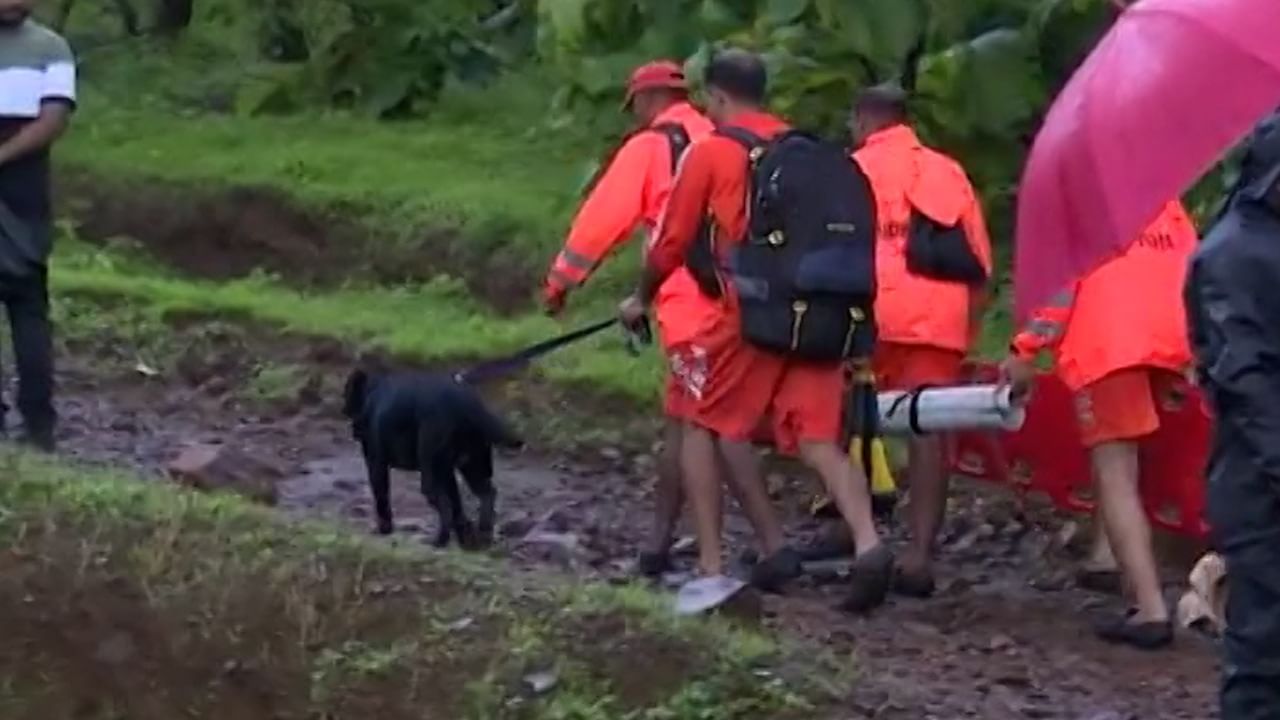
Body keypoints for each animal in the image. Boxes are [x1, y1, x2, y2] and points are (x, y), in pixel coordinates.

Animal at [343, 366, 522, 545]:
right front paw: (465, 533)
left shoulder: (376, 464)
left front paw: (384, 529)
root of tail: (466, 404)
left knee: (445, 504)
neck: (372, 393)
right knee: (486, 495)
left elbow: (382, 498)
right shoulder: (447, 472)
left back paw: (438, 540)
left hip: (431, 474)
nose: (352, 428)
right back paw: (483, 535)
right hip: (473, 466)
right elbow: (457, 504)